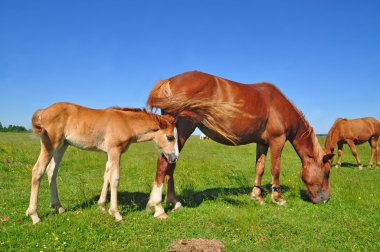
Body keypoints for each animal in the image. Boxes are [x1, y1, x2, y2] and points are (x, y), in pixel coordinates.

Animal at [26, 102, 178, 224]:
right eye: (170, 137)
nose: (174, 158)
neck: (126, 123)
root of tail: (43, 111)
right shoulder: (114, 151)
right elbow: (115, 179)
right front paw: (116, 214)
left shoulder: (108, 153)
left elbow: (107, 177)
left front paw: (103, 207)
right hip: (50, 144)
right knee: (38, 170)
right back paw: (34, 215)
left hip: (62, 145)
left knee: (52, 171)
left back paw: (58, 207)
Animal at [147, 71, 334, 219]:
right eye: (327, 172)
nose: (326, 199)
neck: (279, 107)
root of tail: (169, 81)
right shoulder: (277, 141)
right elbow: (275, 169)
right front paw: (278, 198)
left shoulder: (262, 143)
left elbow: (260, 168)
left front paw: (257, 197)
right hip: (182, 130)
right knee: (163, 163)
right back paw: (158, 208)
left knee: (170, 165)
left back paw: (175, 202)